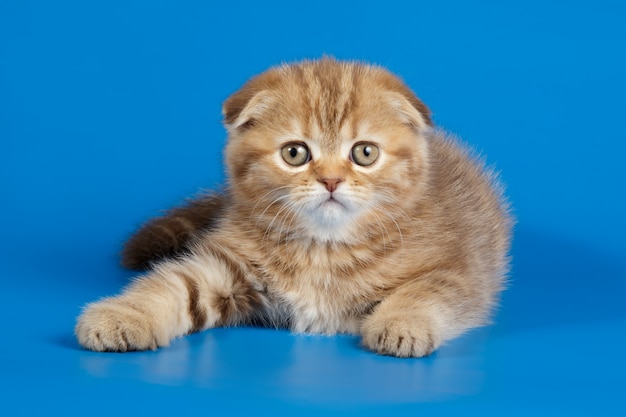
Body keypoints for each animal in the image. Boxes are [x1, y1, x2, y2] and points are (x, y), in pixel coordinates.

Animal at [75, 57, 510, 358]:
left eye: (365, 153)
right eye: (295, 153)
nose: (331, 180)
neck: (324, 247)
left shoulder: (457, 269)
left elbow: (428, 291)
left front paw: (402, 323)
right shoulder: (227, 266)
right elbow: (172, 285)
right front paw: (124, 315)